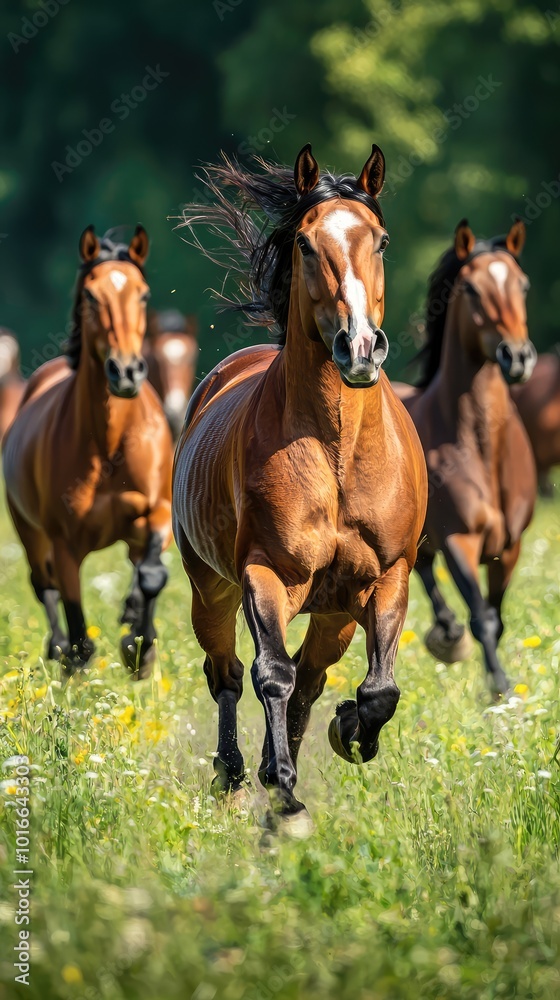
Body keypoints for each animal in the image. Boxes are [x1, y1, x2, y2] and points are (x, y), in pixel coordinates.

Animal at [3, 226, 173, 679]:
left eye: (144, 295)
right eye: (91, 296)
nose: (126, 371)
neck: (109, 445)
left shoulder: (158, 512)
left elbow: (152, 574)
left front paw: (138, 646)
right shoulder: (65, 544)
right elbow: (77, 623)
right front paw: (81, 660)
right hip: (30, 533)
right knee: (44, 586)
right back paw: (59, 649)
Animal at [172, 145, 427, 825]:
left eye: (382, 241)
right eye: (306, 244)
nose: (359, 347)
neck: (337, 452)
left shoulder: (388, 576)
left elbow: (378, 687)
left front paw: (350, 732)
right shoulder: (265, 574)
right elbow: (271, 675)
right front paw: (284, 789)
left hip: (334, 612)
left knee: (312, 677)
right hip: (209, 587)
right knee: (229, 672)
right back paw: (237, 772)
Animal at [394, 219, 536, 696]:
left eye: (523, 284)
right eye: (472, 289)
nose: (517, 356)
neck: (480, 448)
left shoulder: (509, 547)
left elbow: (497, 615)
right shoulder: (459, 540)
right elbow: (482, 619)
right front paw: (500, 689)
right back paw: (448, 635)